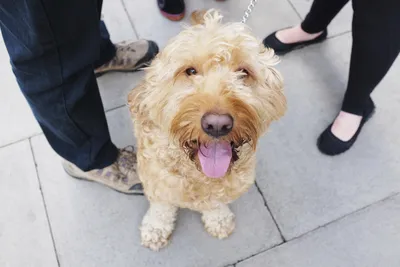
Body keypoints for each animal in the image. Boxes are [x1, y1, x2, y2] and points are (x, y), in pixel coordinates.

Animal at [129, 8, 288, 251]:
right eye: (190, 71)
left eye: (243, 72)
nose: (217, 124)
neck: (199, 175)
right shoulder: (157, 181)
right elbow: (161, 208)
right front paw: (156, 229)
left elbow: (216, 203)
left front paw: (218, 219)